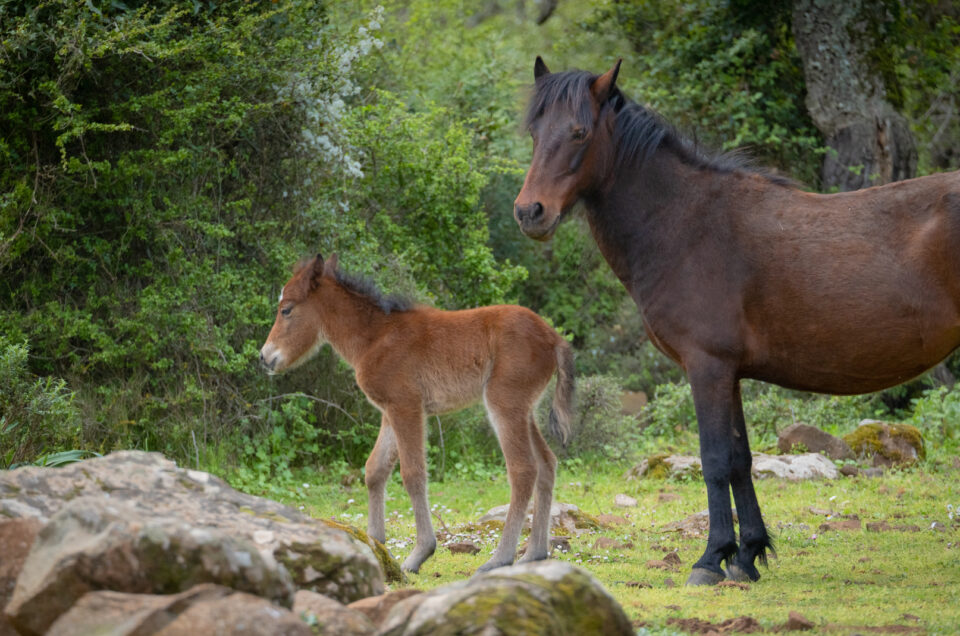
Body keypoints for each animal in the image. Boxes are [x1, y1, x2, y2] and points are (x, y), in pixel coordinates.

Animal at [258, 255, 572, 576]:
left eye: (286, 309)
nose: (264, 357)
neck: (375, 337)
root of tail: (554, 338)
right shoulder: (389, 411)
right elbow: (375, 470)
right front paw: (375, 543)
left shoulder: (406, 406)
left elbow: (413, 474)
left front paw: (419, 554)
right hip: (525, 410)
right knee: (547, 464)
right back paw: (534, 554)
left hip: (504, 404)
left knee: (523, 469)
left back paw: (501, 558)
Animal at [512, 57, 960, 584]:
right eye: (535, 131)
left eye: (579, 132)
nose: (530, 212)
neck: (684, 223)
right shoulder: (732, 374)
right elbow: (742, 459)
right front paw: (747, 557)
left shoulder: (707, 367)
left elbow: (715, 460)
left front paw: (711, 558)